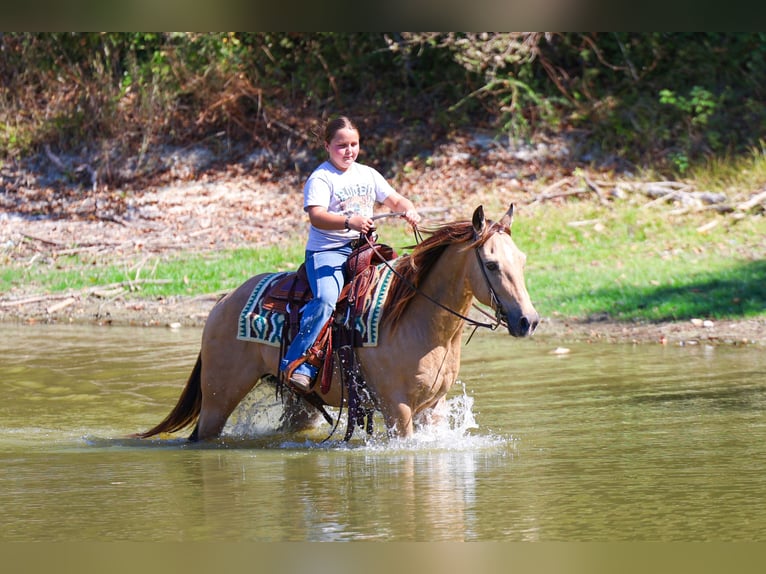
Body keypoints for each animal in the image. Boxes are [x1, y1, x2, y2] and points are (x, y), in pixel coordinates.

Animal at [136, 203, 539, 441]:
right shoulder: (398, 410)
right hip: (219, 397)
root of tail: (224, 302)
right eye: (491, 264)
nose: (528, 321)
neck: (418, 322)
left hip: (297, 403)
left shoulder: (433, 408)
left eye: (521, 260)